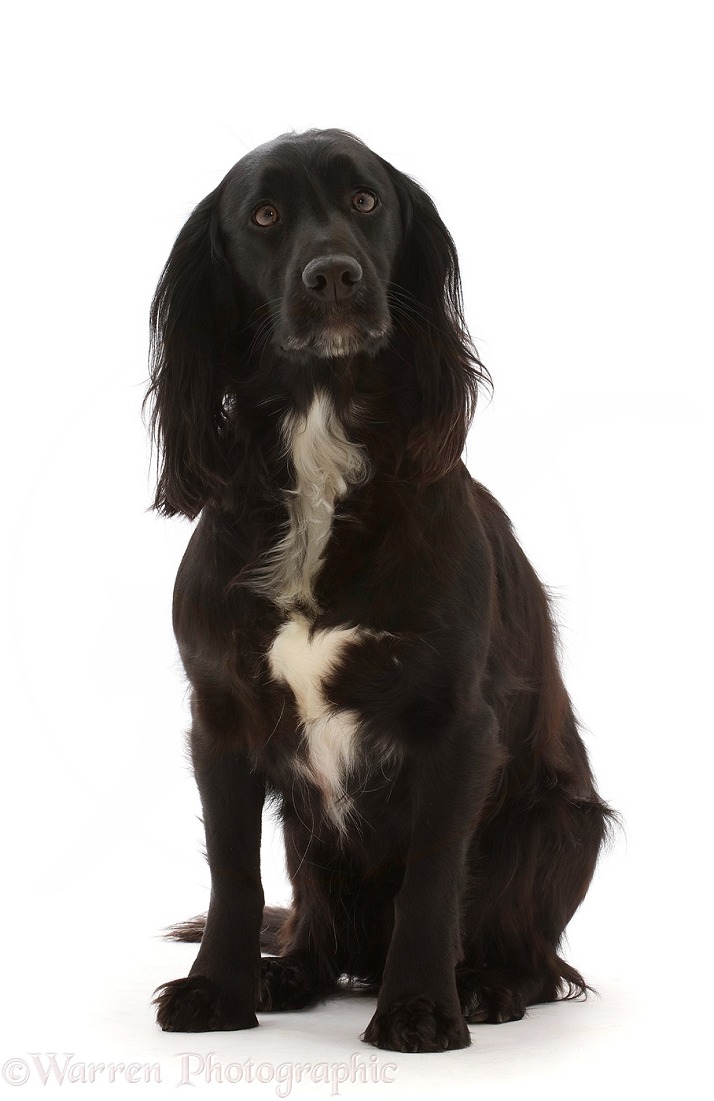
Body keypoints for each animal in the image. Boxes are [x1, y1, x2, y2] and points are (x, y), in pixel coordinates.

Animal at [146, 126, 611, 1048]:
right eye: (263, 215)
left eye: (365, 200)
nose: (333, 275)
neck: (321, 449)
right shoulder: (219, 715)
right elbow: (232, 871)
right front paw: (217, 988)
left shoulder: (458, 726)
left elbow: (433, 879)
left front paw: (422, 1006)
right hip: (311, 841)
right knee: (316, 928)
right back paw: (287, 969)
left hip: (558, 821)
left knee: (540, 960)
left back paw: (485, 983)